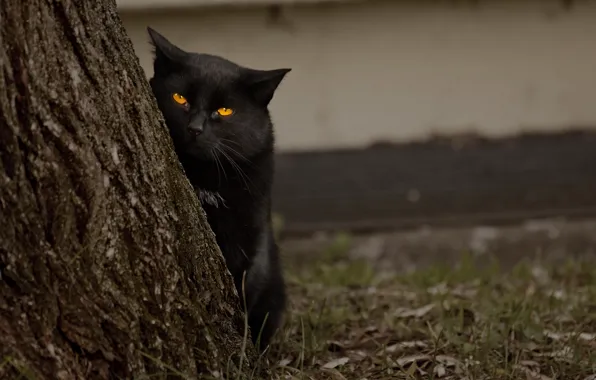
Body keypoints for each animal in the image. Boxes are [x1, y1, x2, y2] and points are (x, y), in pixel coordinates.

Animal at [147, 26, 292, 348]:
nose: (195, 128)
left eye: (224, 111)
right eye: (180, 98)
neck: (207, 178)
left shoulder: (250, 233)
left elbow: (244, 285)